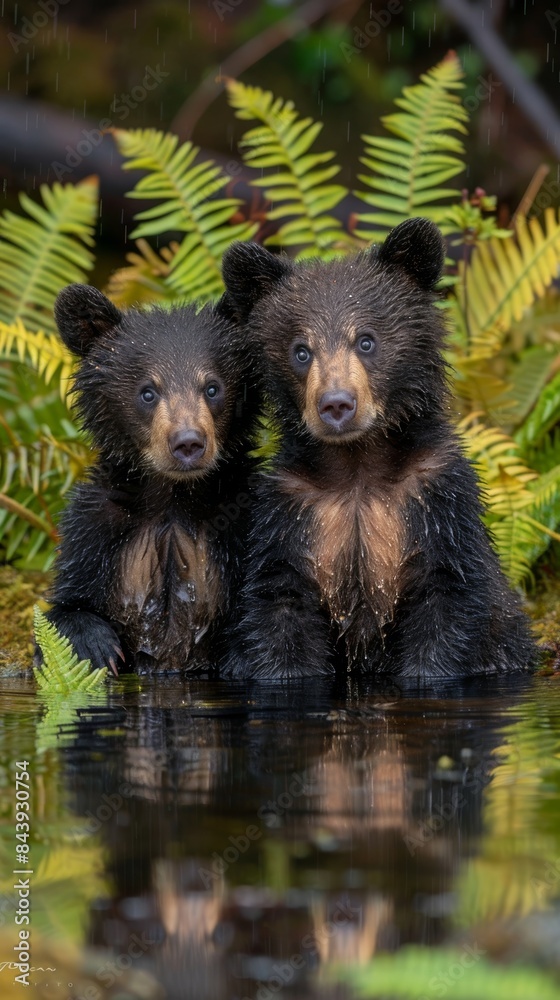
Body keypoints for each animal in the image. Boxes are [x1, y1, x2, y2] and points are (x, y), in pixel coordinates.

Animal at [44, 284, 258, 674]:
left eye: (212, 387)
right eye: (148, 391)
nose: (188, 443)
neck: (173, 498)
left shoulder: (247, 526)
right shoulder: (92, 531)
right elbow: (67, 609)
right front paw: (97, 647)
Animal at [220, 217, 536, 680]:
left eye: (366, 341)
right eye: (301, 351)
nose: (336, 404)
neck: (358, 464)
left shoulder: (435, 501)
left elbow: (448, 604)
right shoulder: (291, 513)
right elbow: (279, 611)